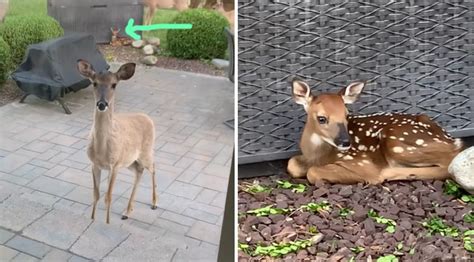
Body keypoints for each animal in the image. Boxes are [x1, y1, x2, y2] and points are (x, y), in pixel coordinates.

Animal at [77, 60, 158, 224]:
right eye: (94, 83)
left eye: (114, 84)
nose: (102, 104)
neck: (101, 149)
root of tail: (148, 118)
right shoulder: (95, 164)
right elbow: (96, 195)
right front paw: (93, 218)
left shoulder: (114, 165)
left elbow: (108, 196)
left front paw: (107, 222)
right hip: (130, 160)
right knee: (139, 171)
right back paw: (127, 212)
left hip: (145, 151)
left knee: (153, 167)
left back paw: (153, 203)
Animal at [286, 80, 464, 184]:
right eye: (321, 118)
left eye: (346, 115)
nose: (346, 142)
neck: (318, 156)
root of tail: (453, 141)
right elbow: (292, 164)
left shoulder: (360, 163)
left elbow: (312, 172)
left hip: (396, 141)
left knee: (448, 164)